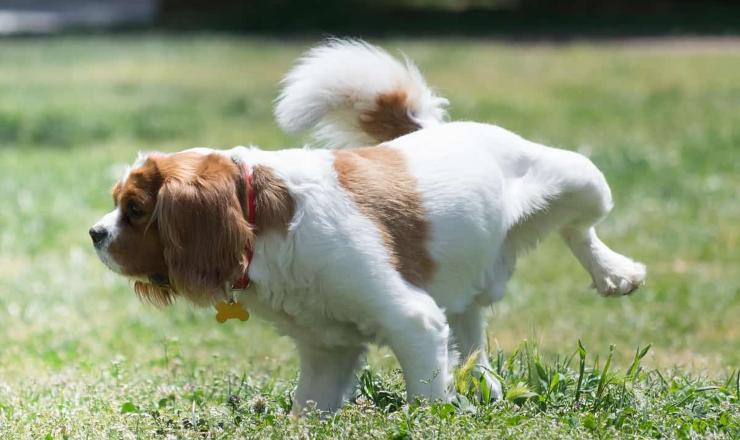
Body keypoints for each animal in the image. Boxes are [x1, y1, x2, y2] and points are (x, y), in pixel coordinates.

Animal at [88, 39, 648, 414]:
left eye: (134, 209)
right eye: (118, 205)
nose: (95, 234)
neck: (262, 224)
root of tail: (437, 130)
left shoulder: (413, 321)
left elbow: (426, 399)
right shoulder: (326, 354)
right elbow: (308, 409)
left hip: (581, 177)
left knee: (580, 227)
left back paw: (614, 273)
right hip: (465, 287)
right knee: (472, 337)